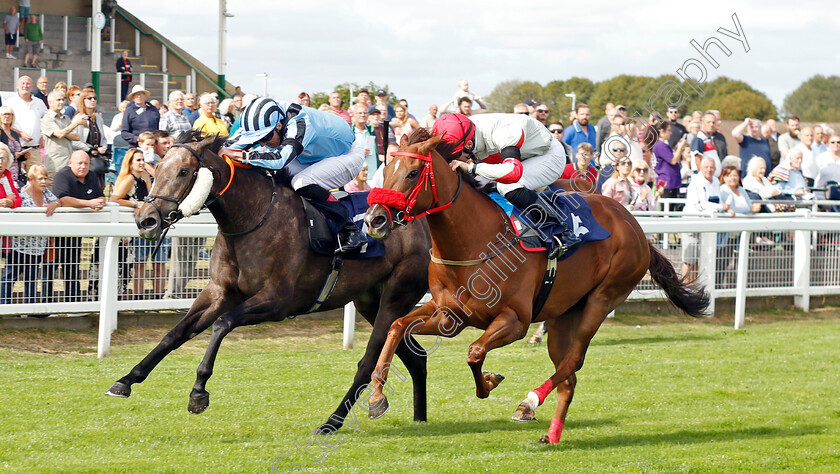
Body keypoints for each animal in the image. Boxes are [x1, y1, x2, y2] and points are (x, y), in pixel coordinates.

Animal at [105, 132, 434, 434]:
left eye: (184, 171)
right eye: (157, 168)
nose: (145, 219)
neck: (252, 217)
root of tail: (421, 219)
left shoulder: (277, 302)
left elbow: (222, 324)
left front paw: (198, 392)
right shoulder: (219, 291)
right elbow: (175, 333)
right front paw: (125, 380)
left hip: (396, 295)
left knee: (370, 361)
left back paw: (332, 423)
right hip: (370, 301)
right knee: (415, 356)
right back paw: (420, 418)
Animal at [362, 128, 708, 442]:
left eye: (412, 173)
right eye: (386, 172)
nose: (374, 220)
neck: (475, 242)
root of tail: (635, 227)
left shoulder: (515, 320)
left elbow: (474, 352)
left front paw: (490, 381)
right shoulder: (449, 316)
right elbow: (396, 327)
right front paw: (376, 397)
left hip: (604, 298)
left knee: (573, 360)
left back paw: (529, 402)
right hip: (564, 314)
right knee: (569, 377)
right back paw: (551, 434)